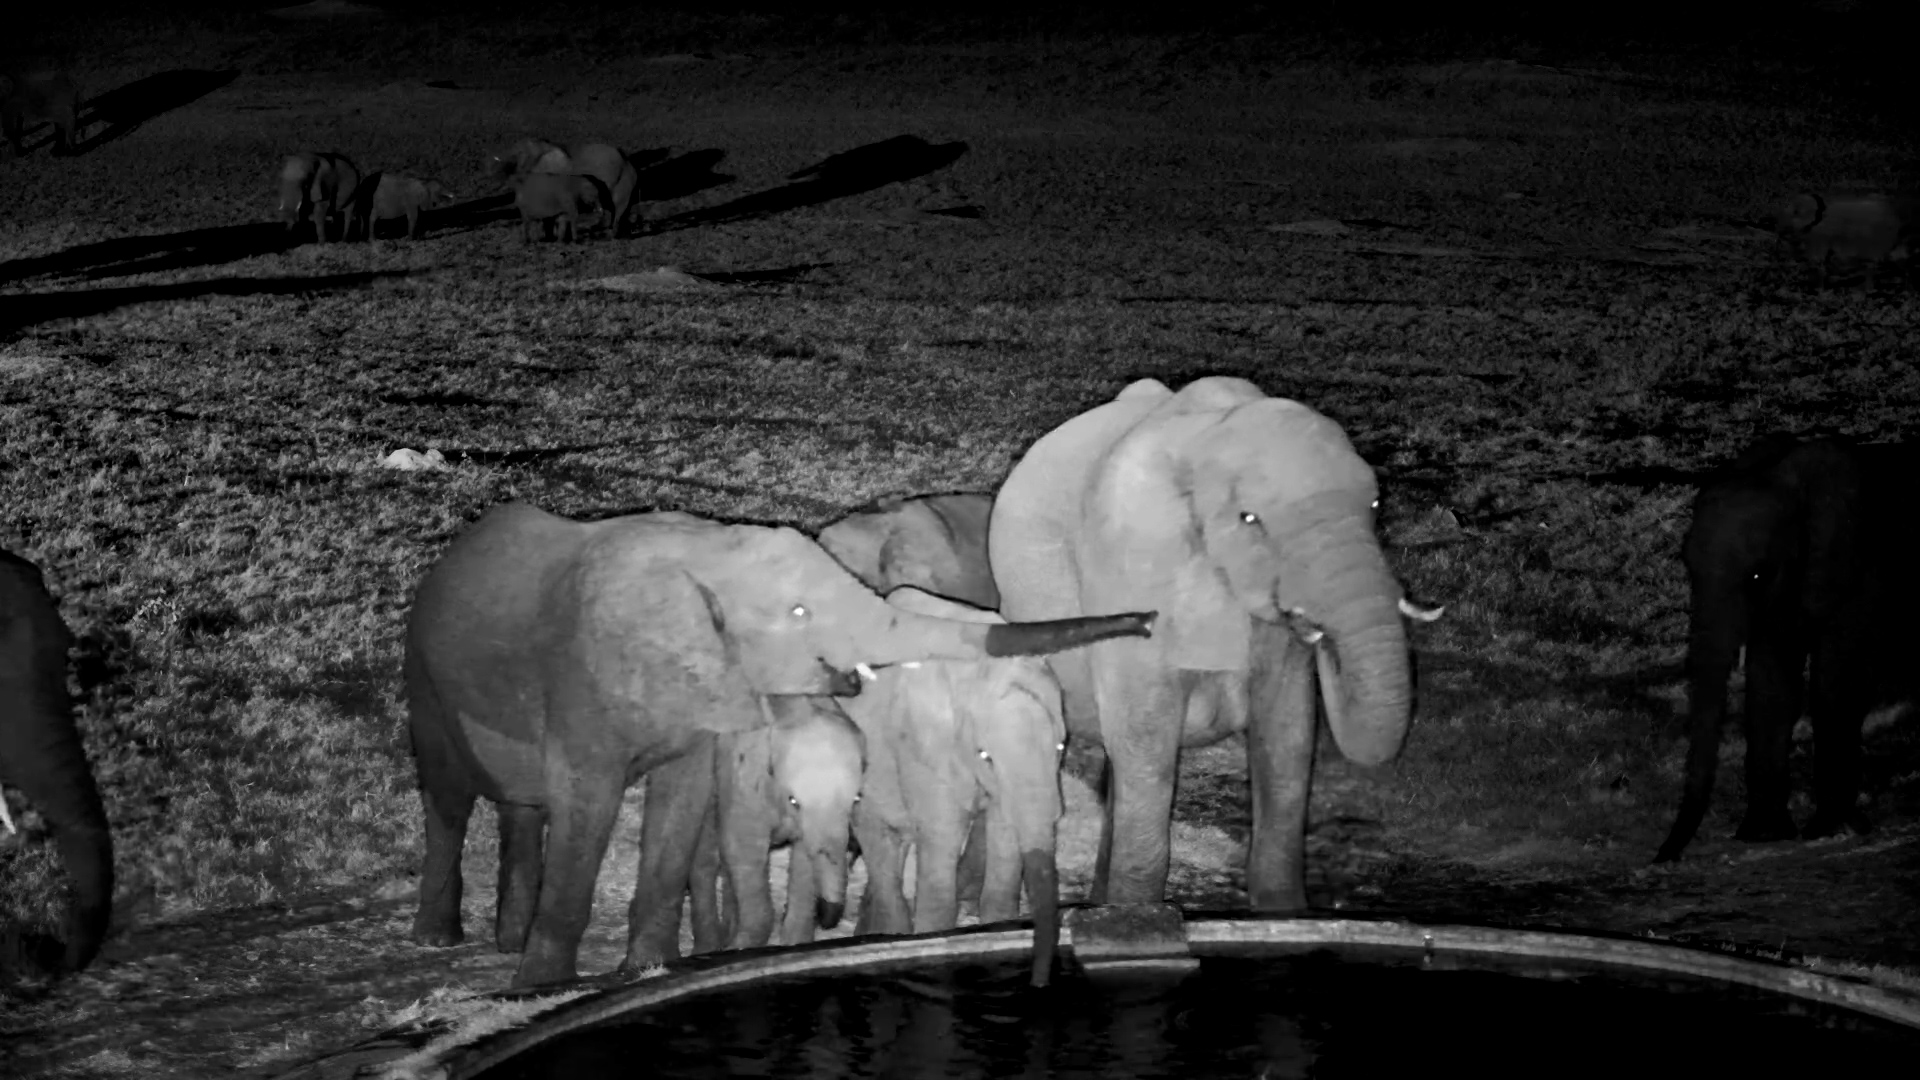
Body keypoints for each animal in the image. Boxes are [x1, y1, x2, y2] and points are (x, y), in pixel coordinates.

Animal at [679, 695, 865, 954]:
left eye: (857, 799)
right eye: (794, 801)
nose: (827, 919)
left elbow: (803, 861)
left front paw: (796, 942)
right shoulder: (744, 783)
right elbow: (742, 849)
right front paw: (742, 946)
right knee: (707, 857)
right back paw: (711, 945)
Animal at [845, 588, 1068, 987]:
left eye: (1061, 748)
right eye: (985, 756)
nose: (1038, 984)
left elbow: (1004, 836)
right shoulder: (925, 745)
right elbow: (942, 835)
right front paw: (931, 941)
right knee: (880, 844)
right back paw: (886, 938)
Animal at [989, 376, 1421, 911]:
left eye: (1376, 507)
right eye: (1250, 519)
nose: (1318, 629)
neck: (1208, 438)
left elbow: (1289, 732)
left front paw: (1284, 915)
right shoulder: (1130, 574)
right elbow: (1147, 737)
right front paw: (1138, 920)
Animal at [1655, 435, 1920, 862]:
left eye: (1758, 575)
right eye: (1687, 567)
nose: (1664, 857)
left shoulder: (1859, 570)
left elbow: (1836, 679)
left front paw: (1829, 829)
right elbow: (1772, 683)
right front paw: (1763, 835)